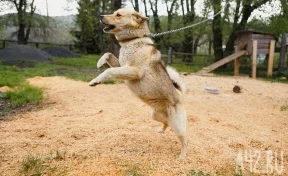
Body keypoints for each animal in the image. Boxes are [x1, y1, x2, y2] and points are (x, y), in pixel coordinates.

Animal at [88, 7, 187, 158]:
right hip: (155, 116)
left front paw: (96, 80)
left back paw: (182, 156)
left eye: (118, 15)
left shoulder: (134, 71)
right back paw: (161, 130)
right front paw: (100, 62)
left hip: (177, 125)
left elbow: (109, 71)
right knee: (166, 123)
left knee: (184, 140)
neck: (133, 40)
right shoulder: (122, 66)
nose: (100, 16)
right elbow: (107, 54)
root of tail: (179, 97)